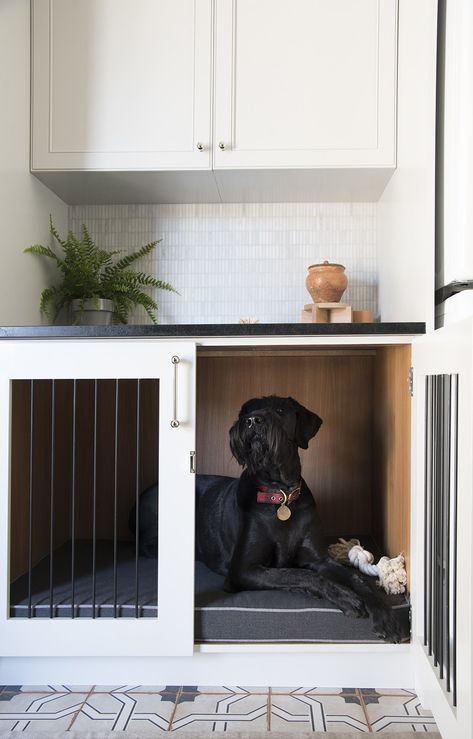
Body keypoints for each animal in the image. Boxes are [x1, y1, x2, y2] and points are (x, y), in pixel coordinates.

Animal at [133, 396, 402, 644]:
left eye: (280, 410)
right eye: (245, 412)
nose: (252, 421)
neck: (279, 495)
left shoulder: (320, 559)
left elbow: (357, 579)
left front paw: (384, 615)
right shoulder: (243, 569)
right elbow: (298, 574)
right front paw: (345, 597)